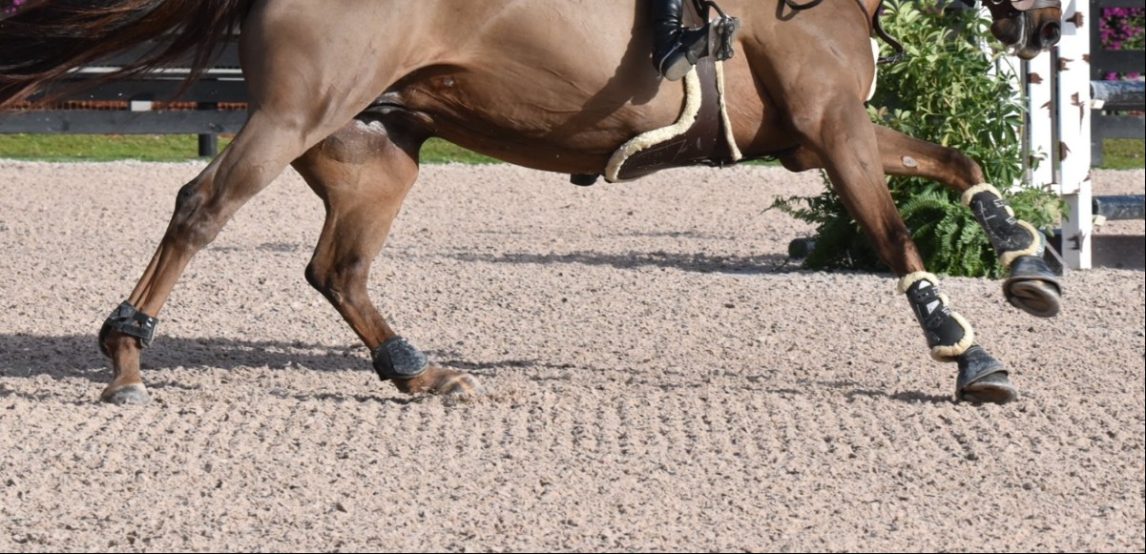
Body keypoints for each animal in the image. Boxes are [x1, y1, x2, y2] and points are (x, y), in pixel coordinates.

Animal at [0, 0, 1064, 405]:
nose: (1049, 26)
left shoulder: (820, 133)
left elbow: (955, 158)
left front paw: (1029, 257)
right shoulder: (831, 128)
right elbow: (892, 239)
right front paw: (969, 354)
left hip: (374, 150)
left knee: (337, 267)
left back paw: (414, 370)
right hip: (295, 115)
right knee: (201, 208)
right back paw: (125, 357)